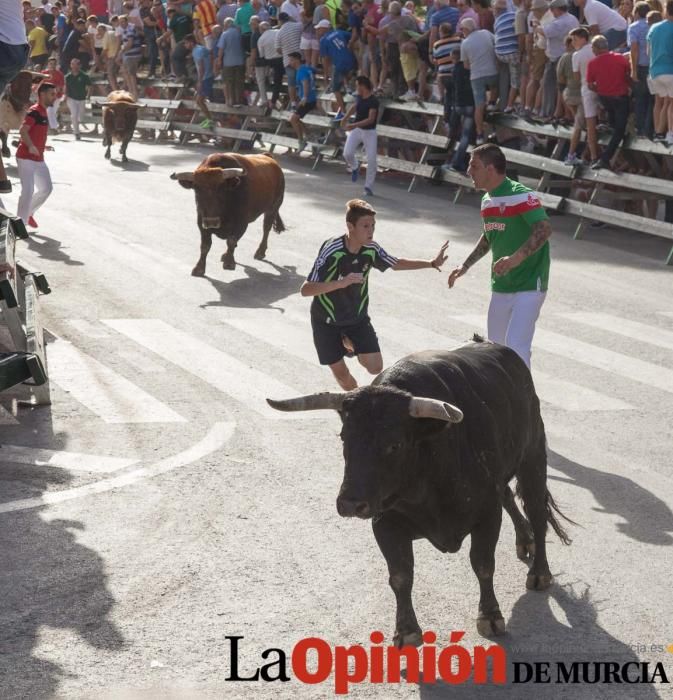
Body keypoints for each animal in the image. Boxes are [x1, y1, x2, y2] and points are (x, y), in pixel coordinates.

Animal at [266, 340, 568, 644]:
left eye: (394, 444)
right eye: (344, 438)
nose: (350, 503)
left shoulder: (487, 514)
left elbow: (483, 564)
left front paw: (490, 616)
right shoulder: (385, 522)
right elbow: (400, 575)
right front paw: (406, 630)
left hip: (532, 457)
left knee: (537, 512)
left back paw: (540, 572)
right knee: (509, 495)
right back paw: (525, 539)